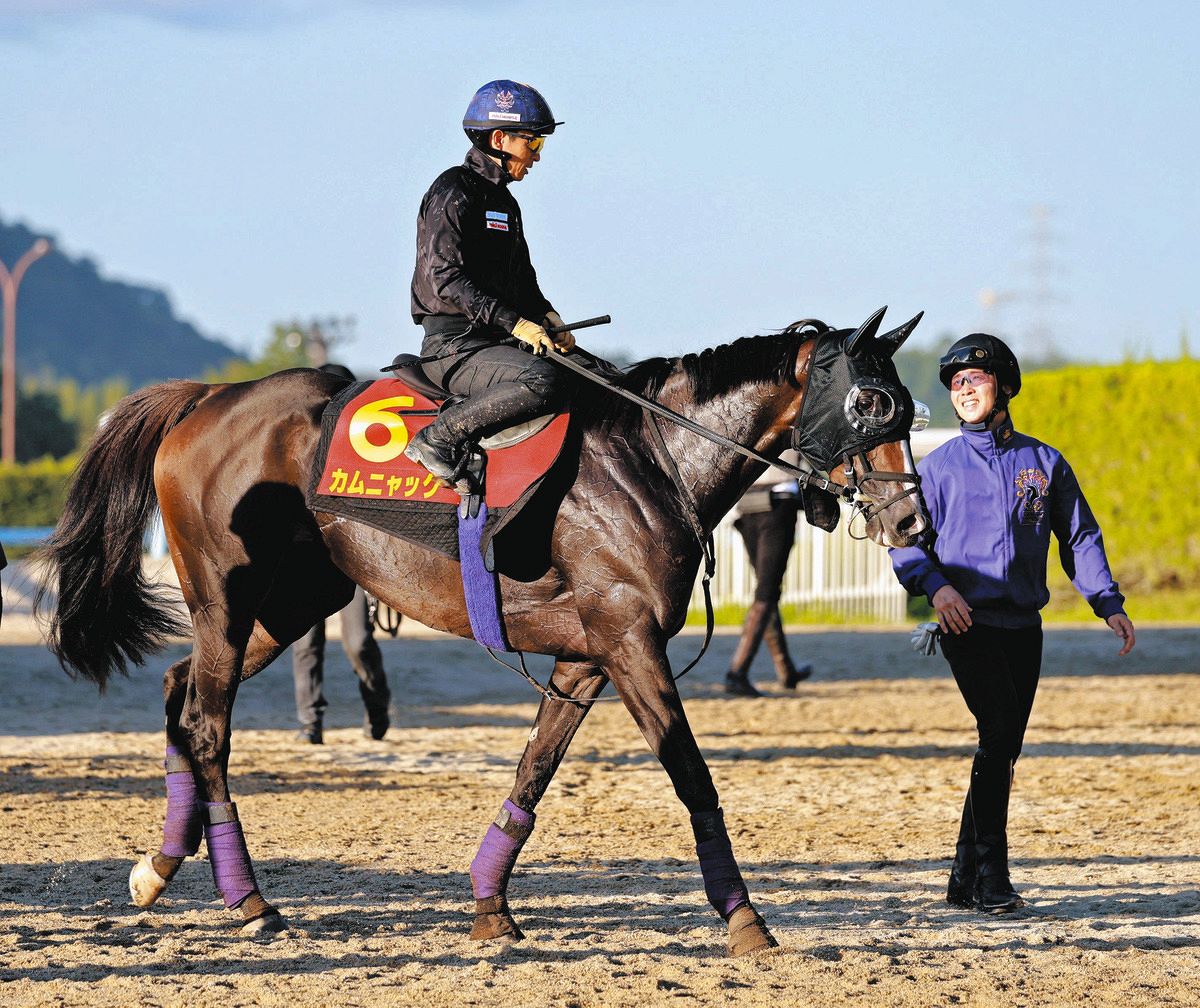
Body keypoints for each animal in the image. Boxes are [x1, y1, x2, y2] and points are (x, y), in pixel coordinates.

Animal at [40, 308, 928, 956]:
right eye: (868, 404)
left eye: (909, 408)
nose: (912, 519)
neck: (653, 459)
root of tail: (206, 399)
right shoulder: (630, 644)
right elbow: (693, 778)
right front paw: (745, 918)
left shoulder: (584, 659)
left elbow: (534, 772)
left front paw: (490, 904)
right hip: (228, 601)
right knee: (210, 727)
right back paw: (250, 899)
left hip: (286, 606)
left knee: (181, 692)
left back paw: (159, 867)